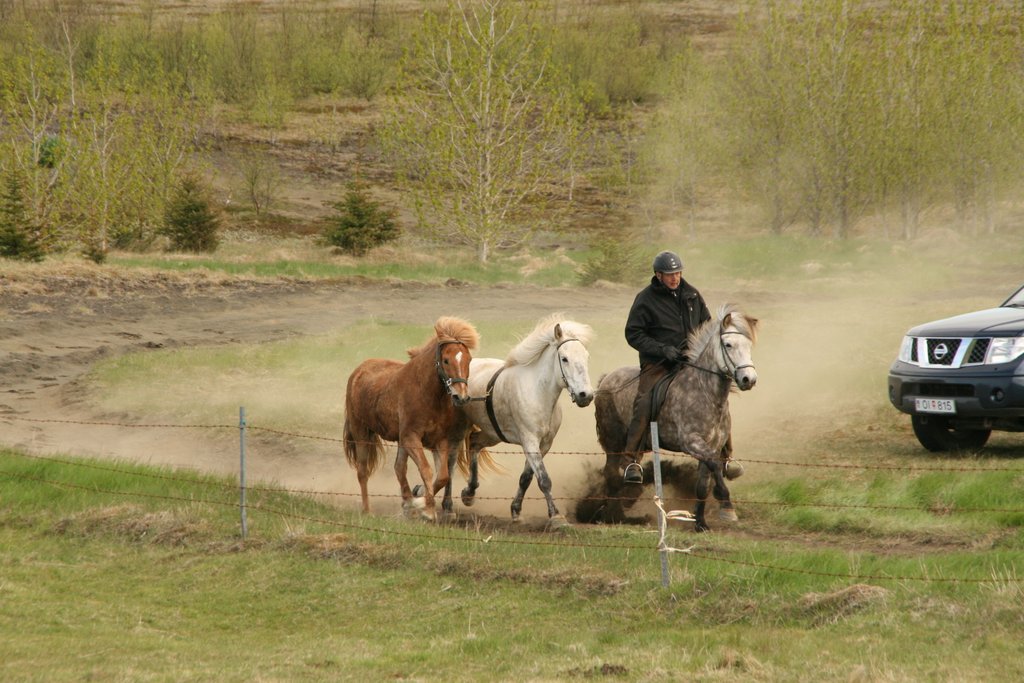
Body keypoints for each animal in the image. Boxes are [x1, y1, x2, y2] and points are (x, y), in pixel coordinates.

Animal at [343, 316, 479, 522]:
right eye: (446, 360)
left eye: (469, 360)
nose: (461, 397)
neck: (426, 393)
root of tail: (358, 371)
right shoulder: (412, 438)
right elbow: (426, 470)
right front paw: (427, 509)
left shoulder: (439, 441)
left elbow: (442, 476)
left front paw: (418, 502)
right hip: (362, 433)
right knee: (363, 471)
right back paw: (368, 510)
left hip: (399, 441)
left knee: (399, 468)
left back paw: (407, 503)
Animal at [455, 314, 595, 529]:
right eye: (564, 358)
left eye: (586, 357)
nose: (585, 395)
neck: (538, 393)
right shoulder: (529, 441)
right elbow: (544, 479)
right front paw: (556, 517)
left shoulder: (544, 444)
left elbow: (526, 478)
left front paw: (516, 511)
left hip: (492, 434)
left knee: (474, 444)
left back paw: (469, 494)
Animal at [589, 304, 759, 532]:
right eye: (728, 344)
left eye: (748, 345)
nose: (749, 379)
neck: (704, 392)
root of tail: (606, 379)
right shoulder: (692, 443)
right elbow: (715, 467)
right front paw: (726, 506)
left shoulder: (711, 447)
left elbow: (702, 485)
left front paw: (700, 523)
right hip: (614, 441)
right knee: (610, 473)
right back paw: (611, 514)